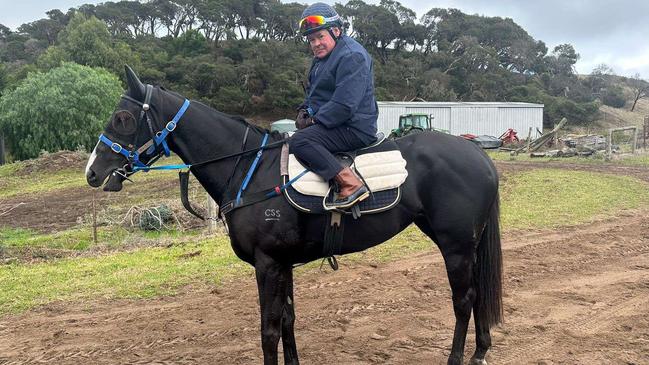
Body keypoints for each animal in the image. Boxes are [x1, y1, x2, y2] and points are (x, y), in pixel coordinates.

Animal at [86, 67, 502, 362]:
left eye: (123, 118)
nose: (92, 171)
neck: (251, 168)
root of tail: (478, 153)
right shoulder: (282, 264)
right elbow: (287, 321)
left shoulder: (267, 264)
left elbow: (268, 330)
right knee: (478, 292)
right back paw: (480, 351)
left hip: (455, 244)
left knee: (464, 298)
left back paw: (458, 358)